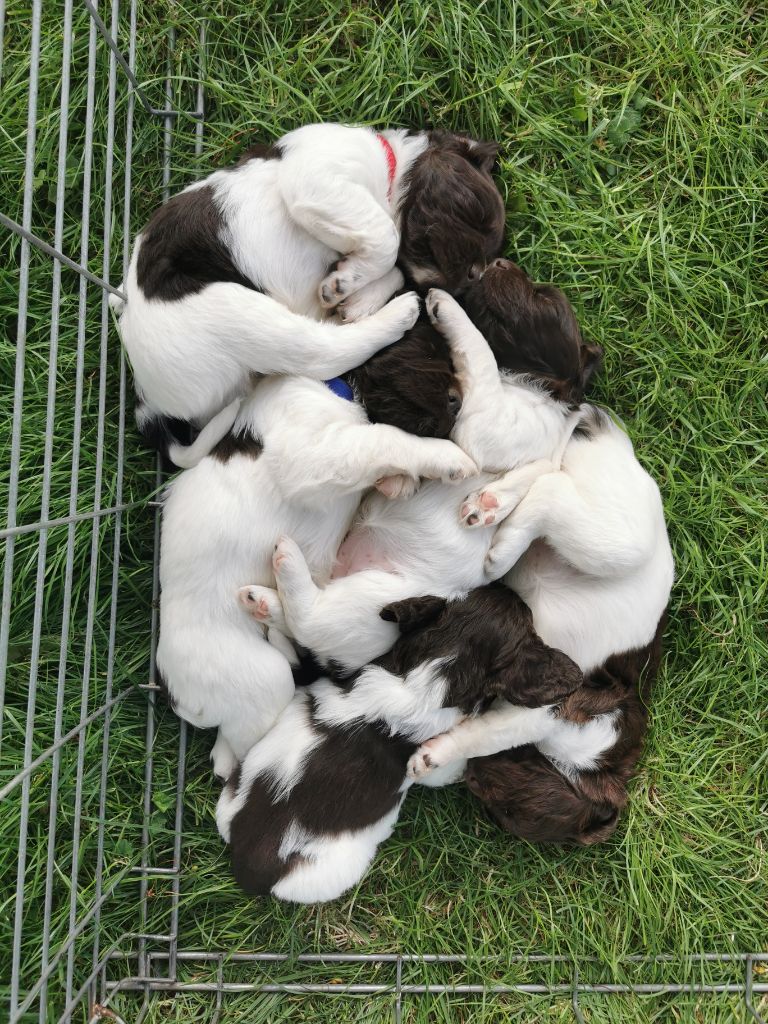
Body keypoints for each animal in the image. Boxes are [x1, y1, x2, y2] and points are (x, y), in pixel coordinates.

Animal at [112, 122, 505, 448]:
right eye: (477, 210)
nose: (475, 276)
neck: (387, 172)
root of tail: (150, 402)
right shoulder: (316, 176)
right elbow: (387, 237)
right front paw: (343, 284)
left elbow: (392, 266)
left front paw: (352, 296)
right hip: (232, 312)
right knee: (324, 353)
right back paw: (401, 311)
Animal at [157, 331, 475, 778]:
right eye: (430, 348)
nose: (458, 401)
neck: (334, 389)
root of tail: (177, 696)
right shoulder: (308, 458)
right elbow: (383, 438)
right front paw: (445, 457)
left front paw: (400, 481)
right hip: (264, 675)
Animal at [240, 266, 602, 671]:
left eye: (543, 297)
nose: (497, 264)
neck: (534, 389)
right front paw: (401, 482)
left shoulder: (487, 425)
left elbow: (481, 353)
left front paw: (446, 306)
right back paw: (265, 601)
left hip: (376, 600)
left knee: (309, 619)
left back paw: (283, 568)